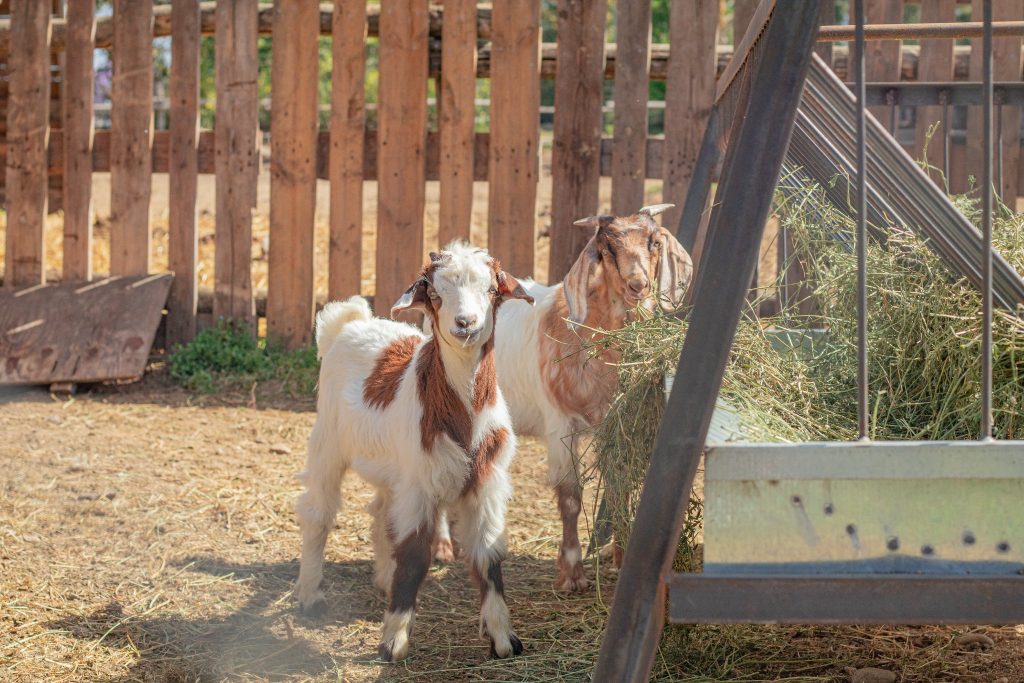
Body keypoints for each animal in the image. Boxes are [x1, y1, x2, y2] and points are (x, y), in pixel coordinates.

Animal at [294, 244, 532, 663]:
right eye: (435, 293)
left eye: (491, 290)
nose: (465, 323)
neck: (464, 418)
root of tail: (351, 323)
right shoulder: (421, 485)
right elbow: (415, 554)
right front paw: (394, 641)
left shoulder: (486, 481)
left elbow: (487, 553)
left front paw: (504, 638)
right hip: (328, 440)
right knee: (318, 512)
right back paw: (311, 596)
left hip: (394, 469)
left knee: (380, 511)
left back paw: (383, 578)